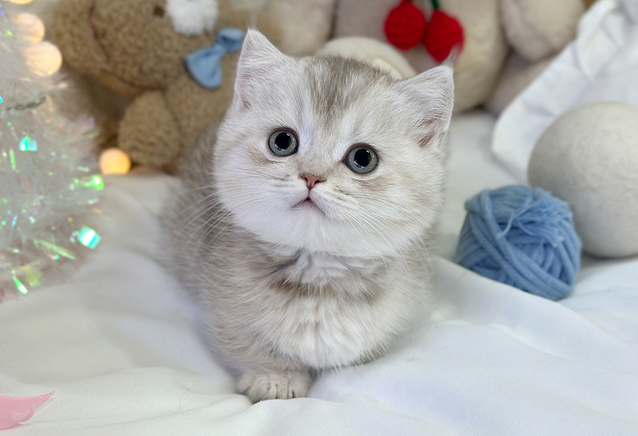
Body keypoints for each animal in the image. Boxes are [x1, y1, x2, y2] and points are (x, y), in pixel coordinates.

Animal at [165, 29, 454, 402]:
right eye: (282, 141)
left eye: (363, 158)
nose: (311, 177)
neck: (317, 280)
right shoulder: (220, 305)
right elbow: (243, 343)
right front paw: (276, 377)